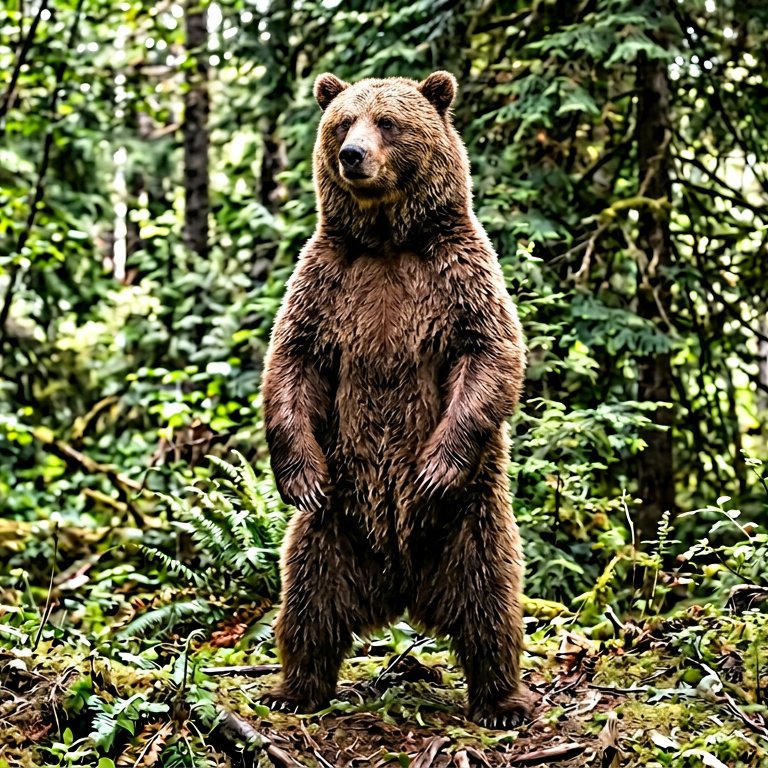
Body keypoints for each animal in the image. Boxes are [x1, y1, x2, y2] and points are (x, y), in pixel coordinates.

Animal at [261, 70, 531, 728]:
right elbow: (291, 361)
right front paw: (298, 476)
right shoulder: (328, 279)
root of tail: (400, 588)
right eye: (342, 121)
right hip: (333, 526)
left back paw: (502, 701)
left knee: (491, 598)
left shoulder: (458, 274)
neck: (387, 238)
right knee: (307, 601)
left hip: (472, 518)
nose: (351, 155)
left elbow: (491, 352)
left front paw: (433, 469)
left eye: (388, 122)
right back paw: (294, 689)